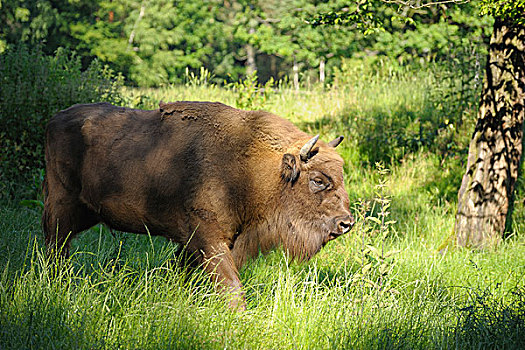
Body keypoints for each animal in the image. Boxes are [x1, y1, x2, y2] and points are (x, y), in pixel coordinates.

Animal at [43, 101, 354, 308]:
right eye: (317, 180)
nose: (346, 222)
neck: (252, 166)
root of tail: (55, 119)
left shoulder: (213, 241)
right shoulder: (208, 237)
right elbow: (230, 284)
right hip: (61, 206)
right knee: (55, 243)